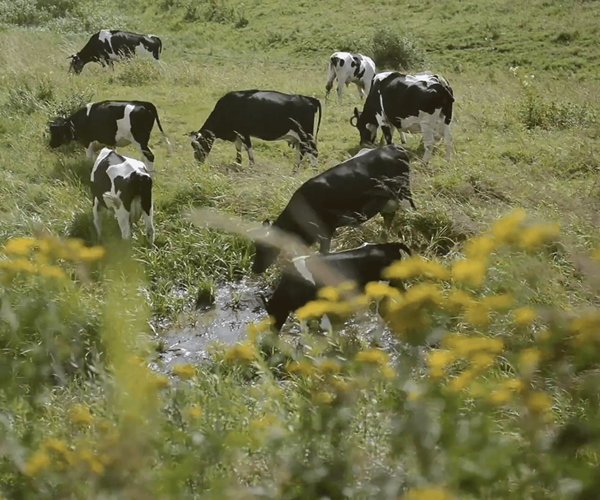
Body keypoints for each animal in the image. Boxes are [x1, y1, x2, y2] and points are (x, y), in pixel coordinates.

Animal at [191, 92, 324, 172]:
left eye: (198, 145)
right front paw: (237, 164)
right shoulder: (237, 134)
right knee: (300, 153)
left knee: (313, 152)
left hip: (306, 135)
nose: (197, 161)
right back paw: (294, 171)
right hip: (299, 138)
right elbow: (238, 149)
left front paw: (251, 166)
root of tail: (310, 99)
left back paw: (314, 171)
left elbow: (248, 149)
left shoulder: (243, 132)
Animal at [251, 145, 414, 276]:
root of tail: (394, 146)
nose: (255, 269)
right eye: (256, 244)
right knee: (388, 217)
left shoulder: (325, 232)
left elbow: (324, 253)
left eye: (266, 247)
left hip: (403, 192)